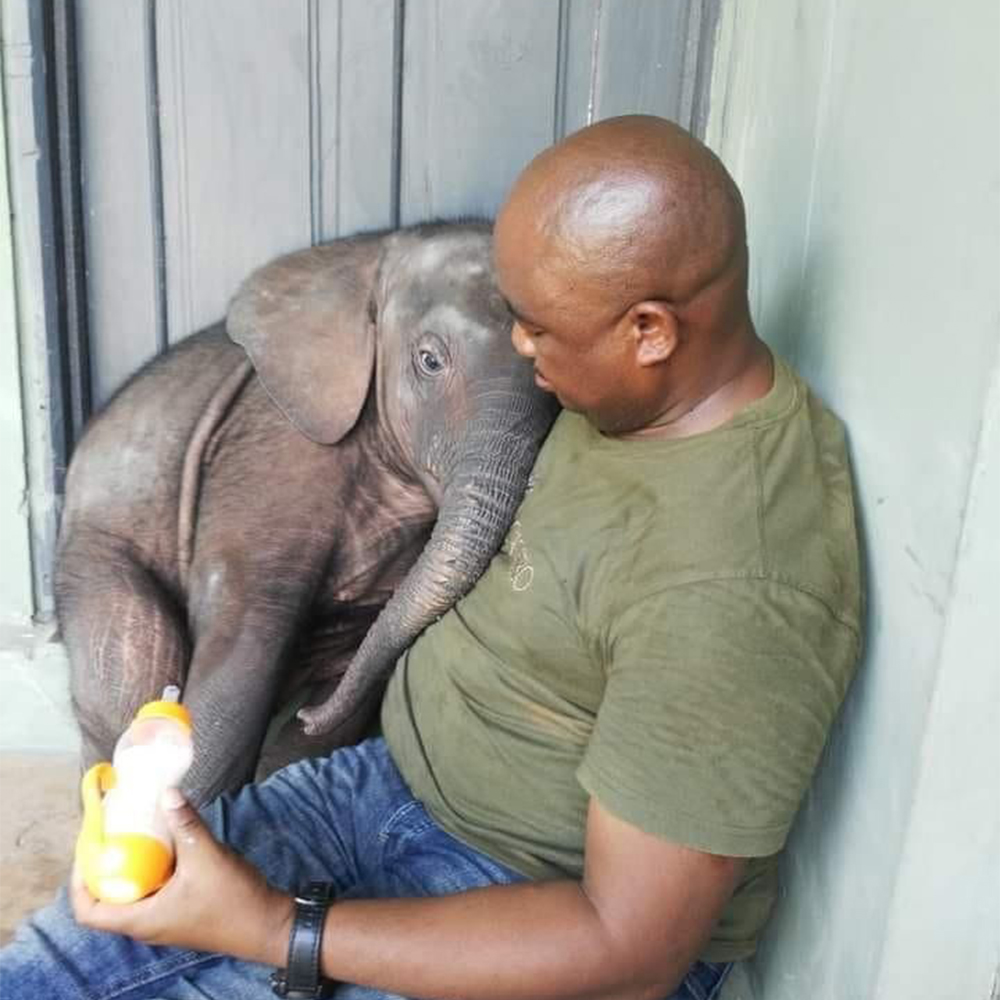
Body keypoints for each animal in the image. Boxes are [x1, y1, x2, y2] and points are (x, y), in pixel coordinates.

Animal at [56, 221, 559, 805]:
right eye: (430, 361)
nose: (310, 713)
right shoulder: (272, 447)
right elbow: (245, 643)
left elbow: (343, 676)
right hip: (97, 547)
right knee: (133, 666)